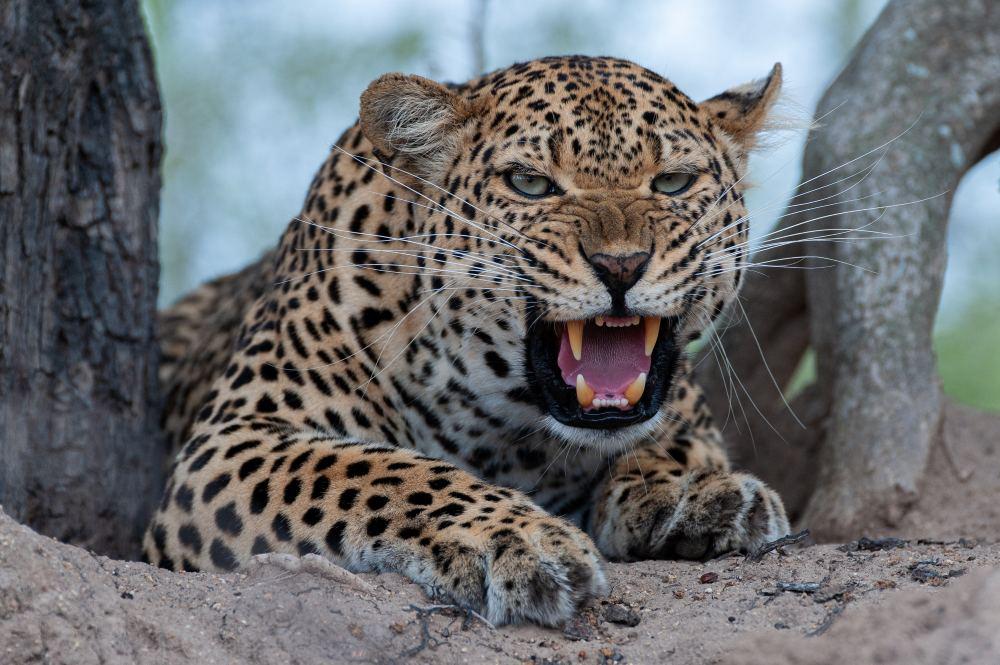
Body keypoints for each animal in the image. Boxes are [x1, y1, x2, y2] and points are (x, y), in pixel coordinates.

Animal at [145, 55, 791, 627]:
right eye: (530, 184)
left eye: (674, 182)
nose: (621, 265)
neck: (509, 432)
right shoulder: (232, 440)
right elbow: (374, 471)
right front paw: (517, 539)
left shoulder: (686, 418)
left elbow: (672, 446)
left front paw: (692, 491)